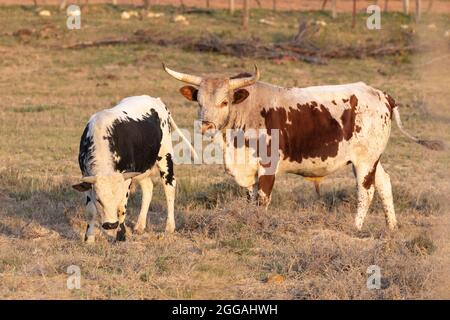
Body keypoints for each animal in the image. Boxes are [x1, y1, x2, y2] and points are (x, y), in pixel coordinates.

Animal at [72, 96, 193, 241]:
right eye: (99, 200)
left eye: (117, 197)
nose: (111, 225)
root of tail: (156, 100)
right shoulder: (87, 177)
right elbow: (90, 211)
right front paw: (89, 238)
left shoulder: (126, 180)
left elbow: (121, 209)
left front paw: (121, 235)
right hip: (142, 168)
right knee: (148, 189)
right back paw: (139, 226)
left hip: (165, 157)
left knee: (169, 187)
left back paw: (169, 227)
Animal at [164, 64, 442, 230]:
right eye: (199, 101)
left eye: (224, 102)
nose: (206, 125)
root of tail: (381, 95)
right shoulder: (248, 169)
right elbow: (250, 199)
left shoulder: (268, 167)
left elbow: (262, 200)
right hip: (373, 159)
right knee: (384, 183)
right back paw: (392, 226)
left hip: (365, 161)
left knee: (366, 192)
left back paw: (356, 227)